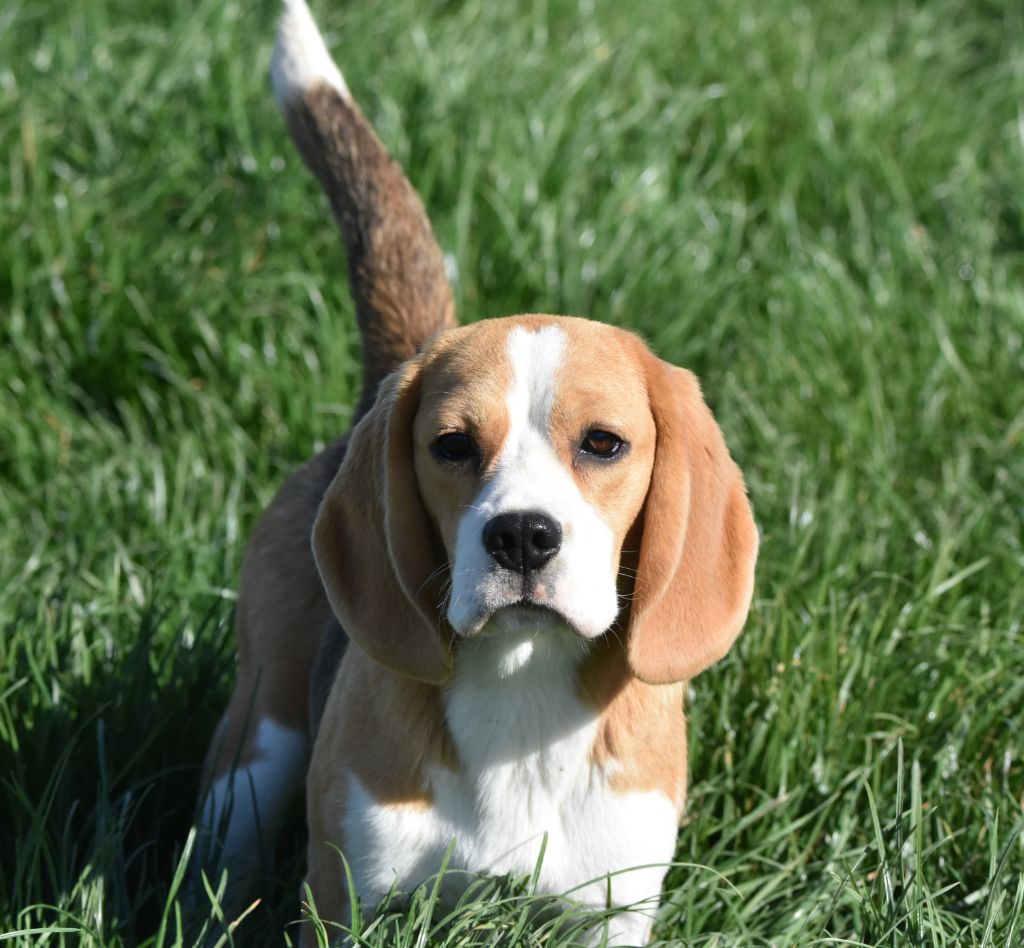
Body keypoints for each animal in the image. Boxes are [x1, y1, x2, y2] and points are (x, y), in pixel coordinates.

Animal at [193, 3, 761, 945]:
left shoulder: (613, 910)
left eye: (604, 444)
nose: (523, 536)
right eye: (453, 446)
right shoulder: (353, 898)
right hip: (259, 735)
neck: (521, 683)